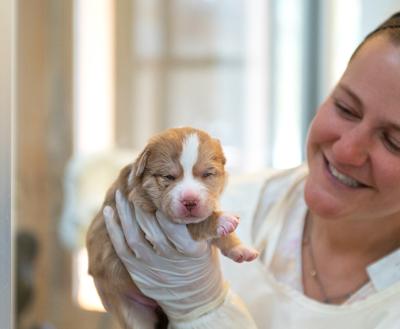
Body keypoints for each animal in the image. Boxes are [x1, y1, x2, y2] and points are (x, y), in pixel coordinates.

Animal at [86, 126, 258, 328]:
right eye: (169, 176)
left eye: (207, 174)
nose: (190, 201)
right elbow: (197, 223)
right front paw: (222, 220)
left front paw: (241, 249)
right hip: (130, 308)